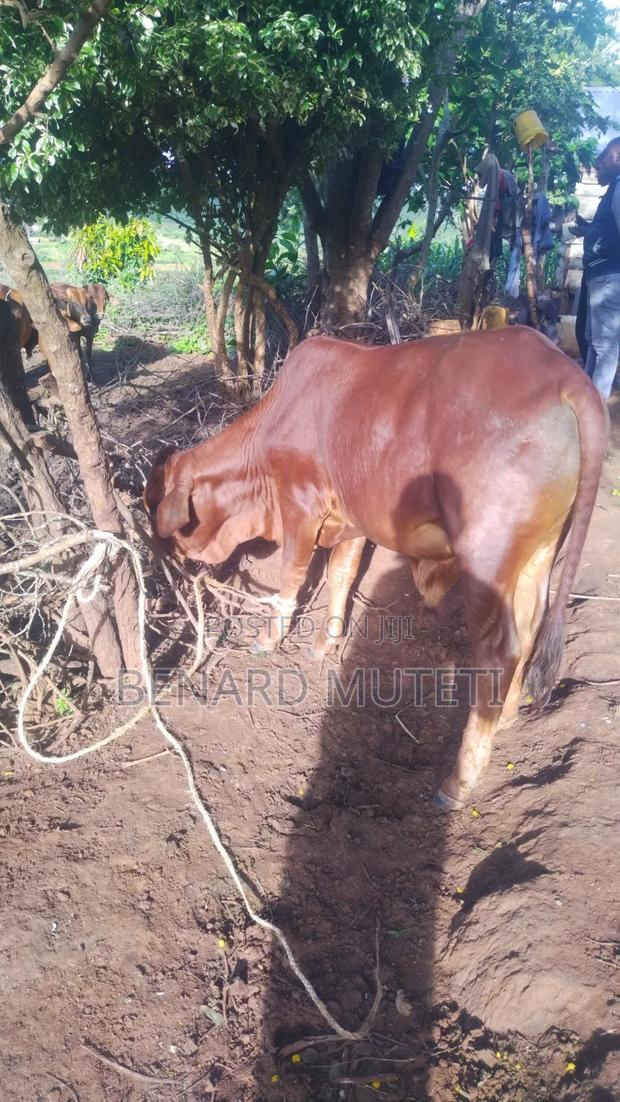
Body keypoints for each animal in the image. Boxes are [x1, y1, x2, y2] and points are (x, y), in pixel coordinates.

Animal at [144, 327, 608, 809]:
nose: (168, 556)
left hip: (487, 556)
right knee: (530, 625)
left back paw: (458, 780)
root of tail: (564, 375)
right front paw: (325, 643)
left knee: (499, 654)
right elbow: (342, 576)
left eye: (155, 502)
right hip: (541, 551)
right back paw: (509, 714)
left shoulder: (300, 508)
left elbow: (292, 579)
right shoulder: (350, 520)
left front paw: (269, 640)